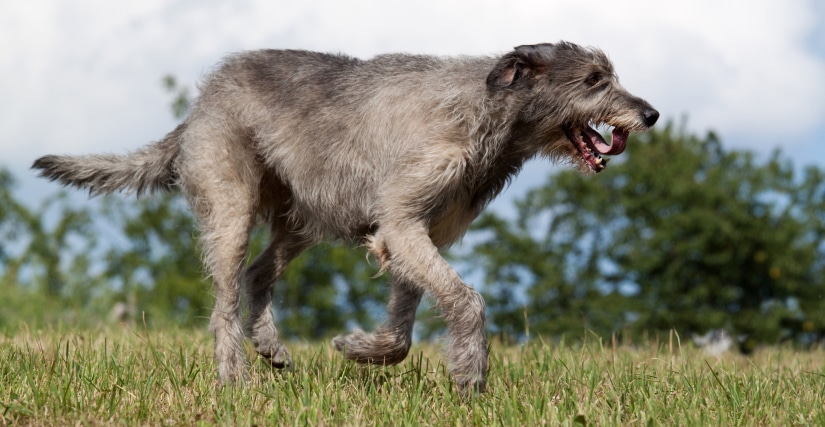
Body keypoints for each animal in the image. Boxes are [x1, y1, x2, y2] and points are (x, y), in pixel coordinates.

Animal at [32, 41, 660, 394]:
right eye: (594, 80)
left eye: (610, 76)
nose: (651, 114)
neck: (487, 109)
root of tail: (197, 107)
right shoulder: (403, 222)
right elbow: (465, 300)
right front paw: (470, 376)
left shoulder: (415, 232)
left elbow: (404, 323)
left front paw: (365, 351)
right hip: (232, 206)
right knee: (224, 300)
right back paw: (234, 379)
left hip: (305, 217)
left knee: (258, 274)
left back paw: (270, 347)